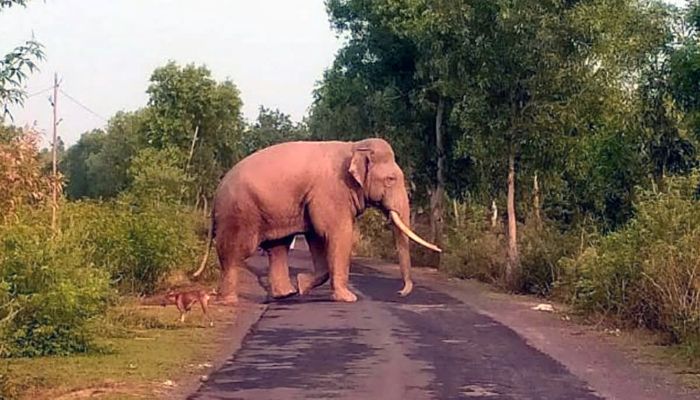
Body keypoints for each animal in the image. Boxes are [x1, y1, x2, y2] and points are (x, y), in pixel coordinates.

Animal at [193, 138, 441, 304]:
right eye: (391, 179)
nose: (400, 292)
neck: (354, 146)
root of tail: (216, 193)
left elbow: (317, 236)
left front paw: (302, 284)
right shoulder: (332, 191)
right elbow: (337, 233)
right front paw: (348, 298)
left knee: (278, 246)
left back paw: (287, 294)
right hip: (239, 212)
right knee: (235, 251)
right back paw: (228, 301)